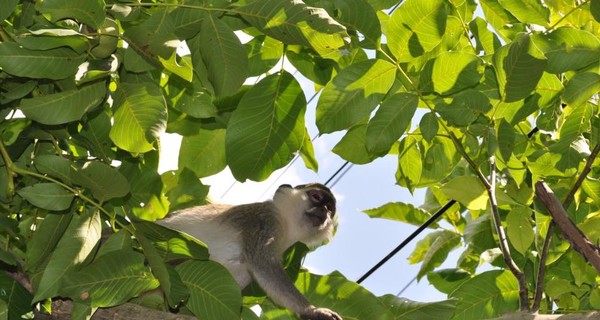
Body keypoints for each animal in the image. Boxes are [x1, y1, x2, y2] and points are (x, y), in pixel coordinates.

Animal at [157, 182, 342, 320]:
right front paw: (311, 310)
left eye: (330, 208)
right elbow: (262, 263)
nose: (324, 211)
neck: (285, 223)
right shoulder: (265, 221)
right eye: (316, 197)